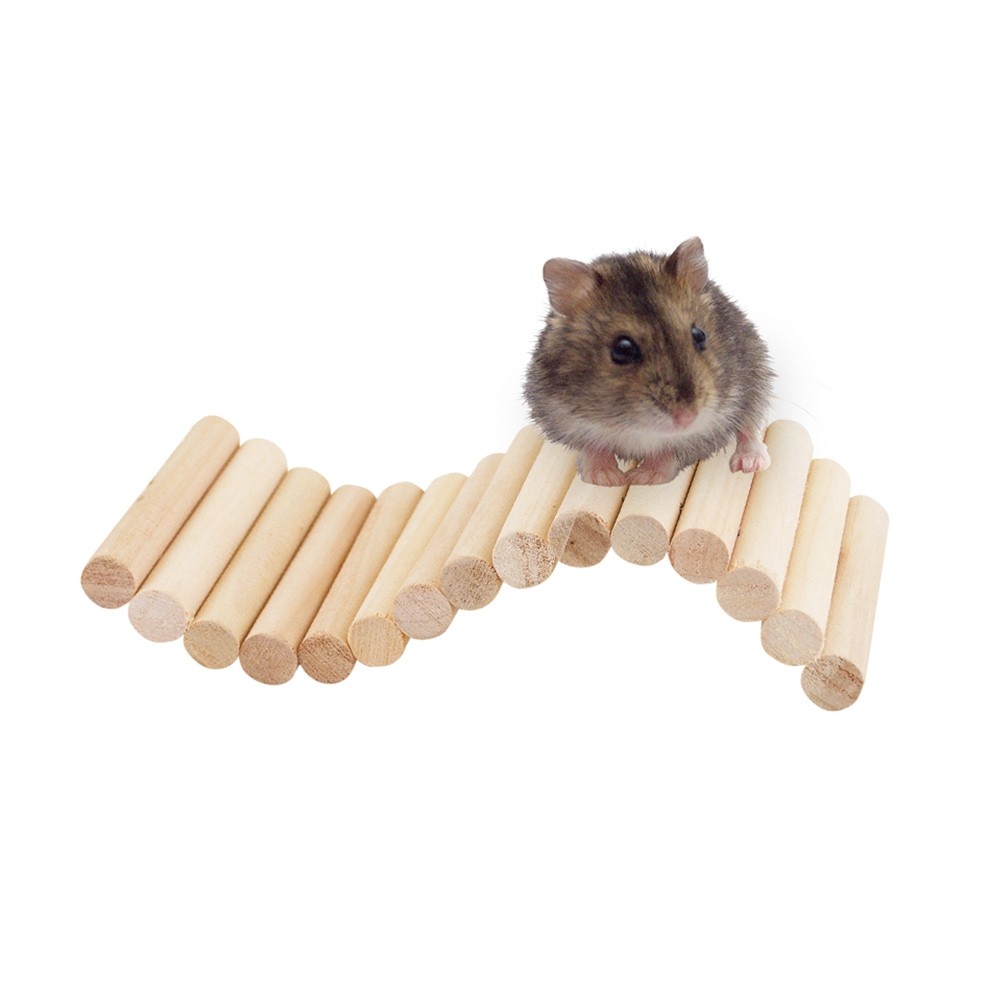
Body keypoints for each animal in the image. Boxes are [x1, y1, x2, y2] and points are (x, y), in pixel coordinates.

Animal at [523, 237, 774, 486]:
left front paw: (641, 478)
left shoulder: (714, 423)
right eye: (623, 349)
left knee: (750, 427)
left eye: (700, 335)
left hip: (758, 375)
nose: (687, 418)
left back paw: (749, 463)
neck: (636, 428)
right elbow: (592, 447)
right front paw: (608, 479)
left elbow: (669, 452)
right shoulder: (562, 417)